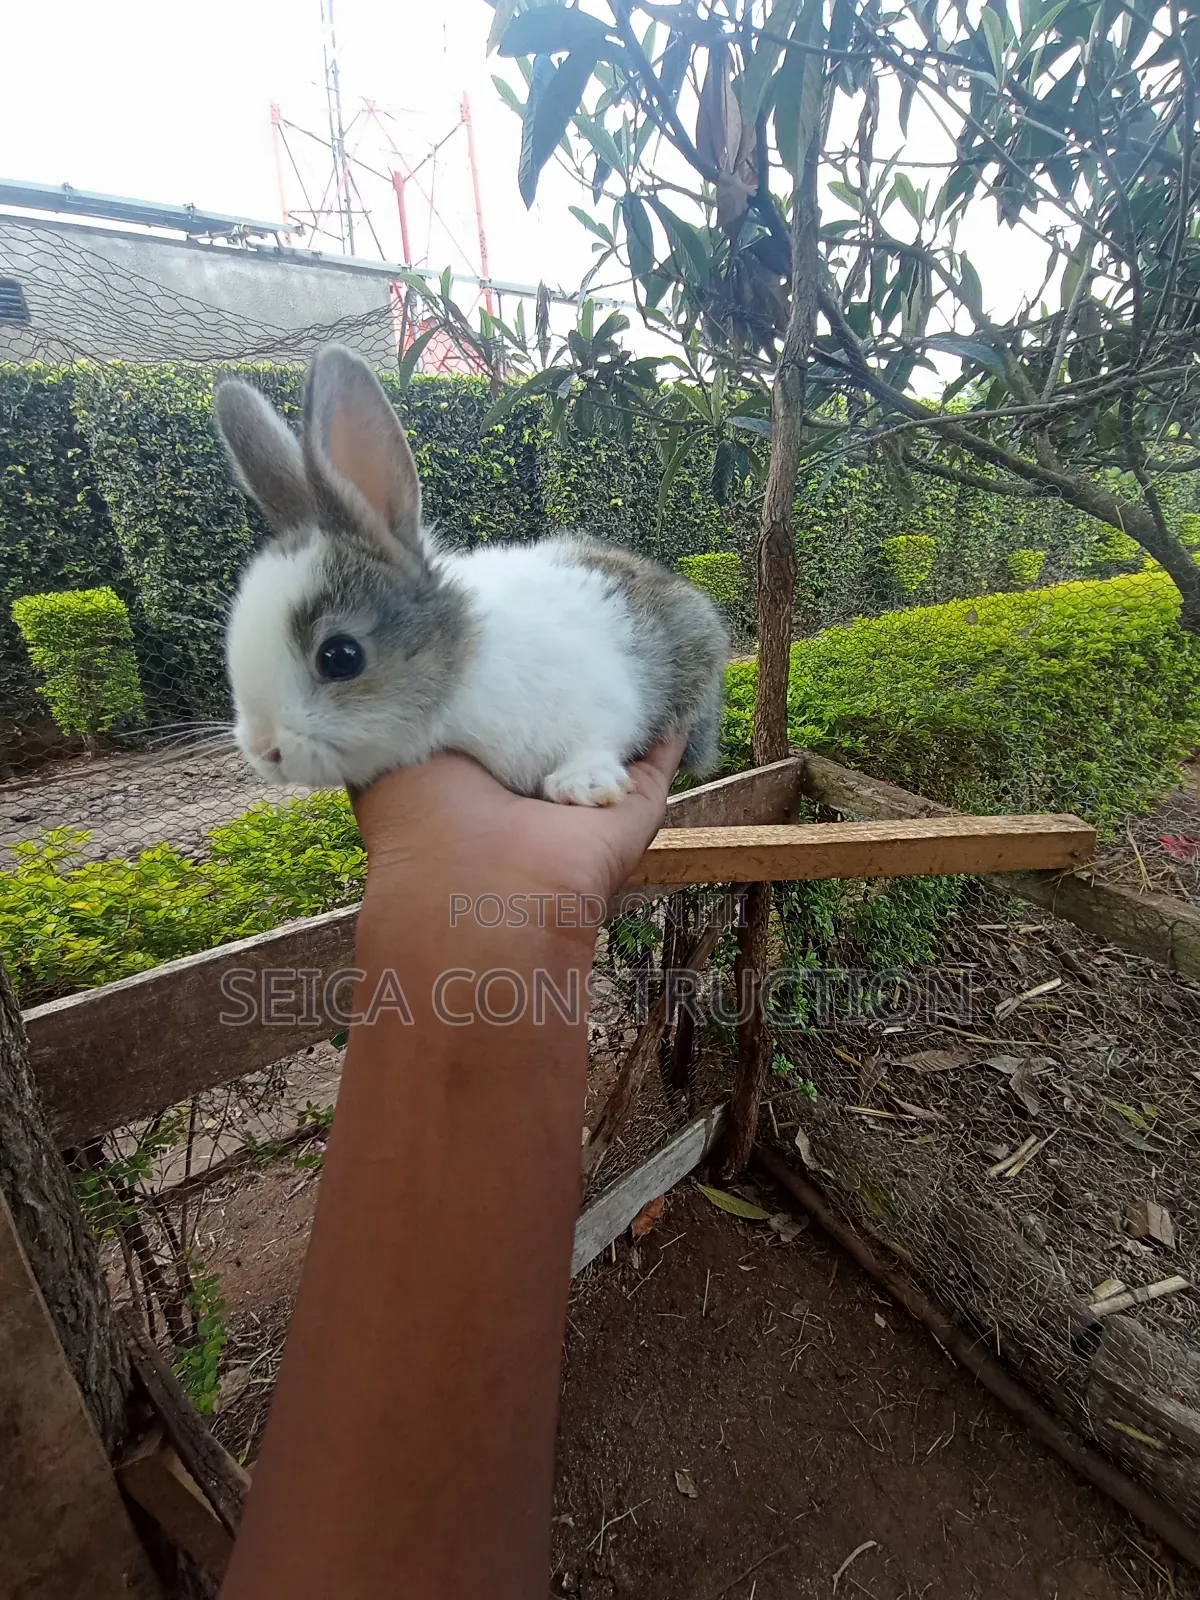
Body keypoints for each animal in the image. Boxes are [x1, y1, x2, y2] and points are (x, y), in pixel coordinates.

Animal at [213, 345, 729, 804]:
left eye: (340, 657)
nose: (265, 750)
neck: (462, 676)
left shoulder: (599, 701)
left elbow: (597, 737)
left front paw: (583, 785)